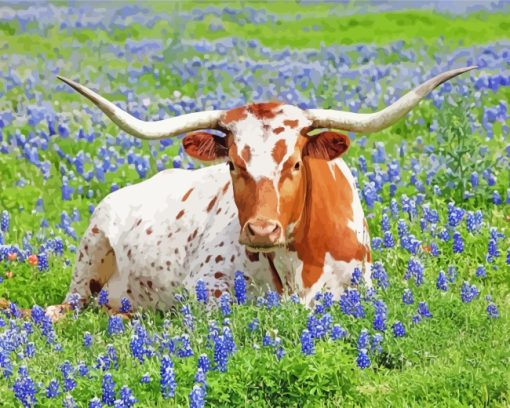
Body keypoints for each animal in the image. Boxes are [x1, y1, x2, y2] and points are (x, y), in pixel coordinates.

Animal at [50, 67, 474, 316]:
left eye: (296, 163)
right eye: (233, 164)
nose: (261, 230)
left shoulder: (358, 288)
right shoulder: (203, 286)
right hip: (89, 255)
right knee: (65, 309)